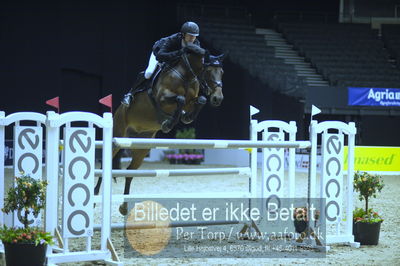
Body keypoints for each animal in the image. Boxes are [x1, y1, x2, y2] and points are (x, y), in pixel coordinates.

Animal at [94, 44, 225, 214]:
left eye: (222, 72)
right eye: (208, 70)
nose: (218, 98)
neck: (187, 75)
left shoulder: (192, 100)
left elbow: (200, 100)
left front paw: (184, 117)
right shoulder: (162, 99)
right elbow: (179, 99)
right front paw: (168, 124)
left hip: (142, 148)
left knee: (130, 172)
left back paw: (124, 207)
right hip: (117, 137)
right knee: (105, 167)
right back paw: (95, 198)